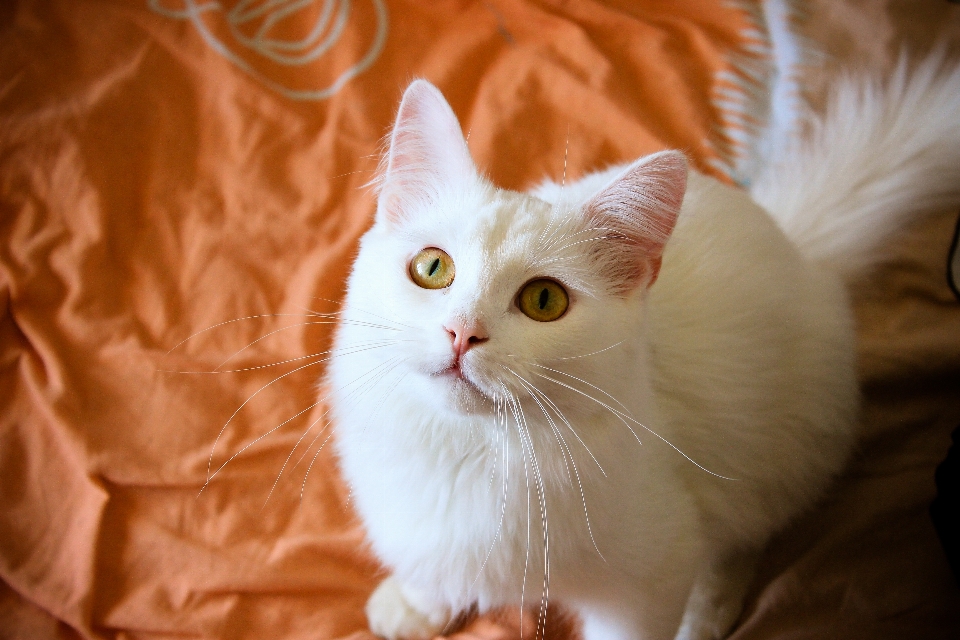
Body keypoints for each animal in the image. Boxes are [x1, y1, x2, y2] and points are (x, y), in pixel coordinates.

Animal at [326, 53, 960, 636]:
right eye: (433, 268)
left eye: (544, 301)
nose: (463, 331)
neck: (473, 453)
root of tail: (803, 254)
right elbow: (435, 569)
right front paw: (415, 603)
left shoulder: (649, 576)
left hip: (770, 458)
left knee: (741, 542)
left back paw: (707, 616)